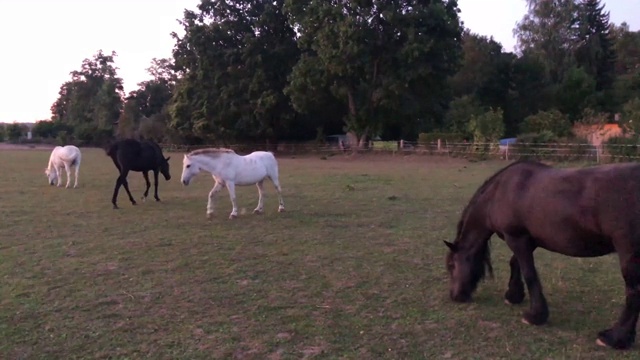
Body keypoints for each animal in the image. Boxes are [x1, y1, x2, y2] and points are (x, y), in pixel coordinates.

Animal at [444, 160, 640, 348]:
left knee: (633, 292)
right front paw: (514, 295)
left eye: (452, 265)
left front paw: (535, 316)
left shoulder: (516, 238)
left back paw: (615, 338)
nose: (455, 296)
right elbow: (515, 264)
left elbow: (529, 273)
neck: (500, 192)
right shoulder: (527, 241)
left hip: (628, 252)